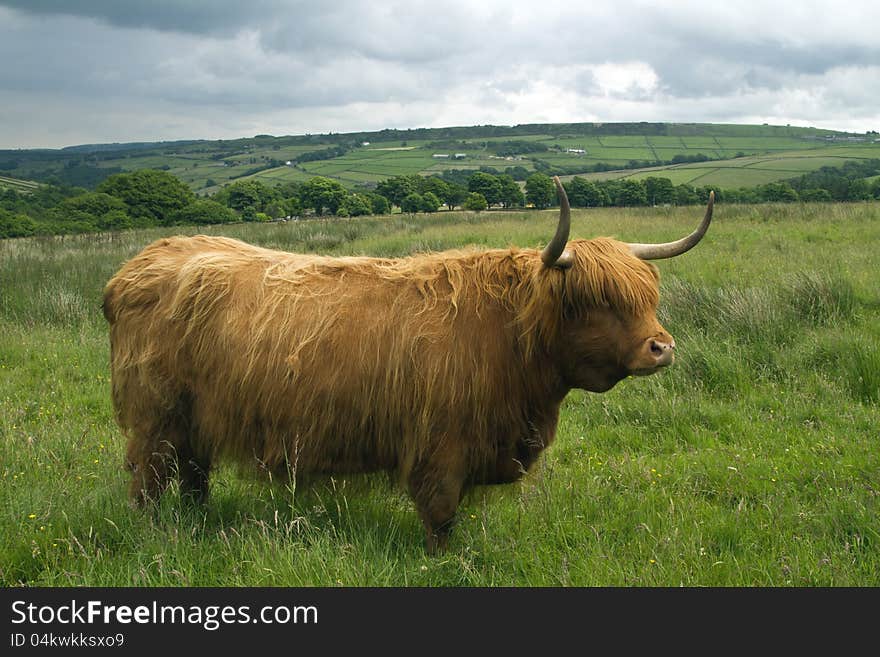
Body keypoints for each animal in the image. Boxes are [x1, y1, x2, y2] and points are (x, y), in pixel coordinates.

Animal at [103, 177, 712, 552]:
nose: (662, 347)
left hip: (197, 419)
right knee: (148, 479)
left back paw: (197, 524)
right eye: (594, 300)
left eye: (648, 295)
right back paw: (151, 534)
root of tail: (139, 265)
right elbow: (441, 515)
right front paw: (442, 560)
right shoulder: (439, 446)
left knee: (193, 474)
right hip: (156, 417)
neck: (508, 339)